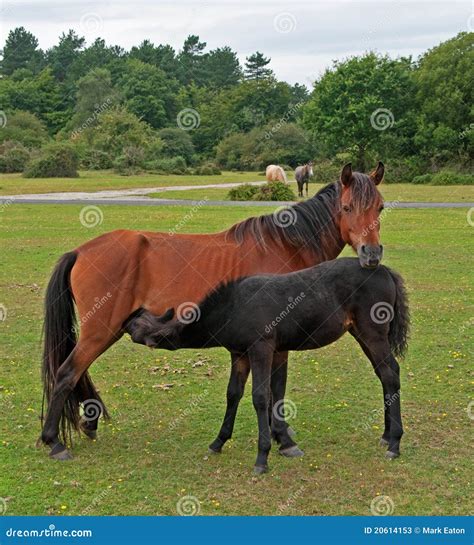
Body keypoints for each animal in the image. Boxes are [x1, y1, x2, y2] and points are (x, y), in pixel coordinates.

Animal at [39, 160, 386, 460]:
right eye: (347, 208)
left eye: (380, 207)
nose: (370, 254)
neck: (284, 247)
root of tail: (81, 251)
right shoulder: (275, 344)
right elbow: (276, 390)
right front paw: (284, 440)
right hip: (100, 331)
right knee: (67, 373)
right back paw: (54, 442)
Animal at [125, 258, 408, 474]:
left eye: (137, 326)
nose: (123, 323)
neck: (234, 305)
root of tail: (385, 270)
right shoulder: (239, 354)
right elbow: (233, 393)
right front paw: (218, 441)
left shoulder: (261, 348)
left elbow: (261, 396)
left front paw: (262, 457)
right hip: (361, 335)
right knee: (384, 374)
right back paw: (386, 435)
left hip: (373, 334)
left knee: (391, 374)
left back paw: (394, 443)